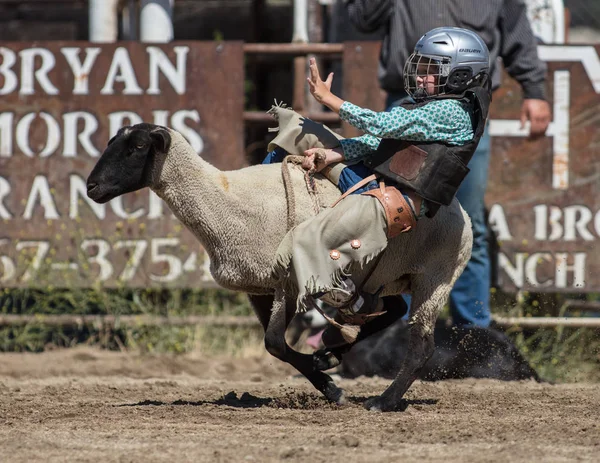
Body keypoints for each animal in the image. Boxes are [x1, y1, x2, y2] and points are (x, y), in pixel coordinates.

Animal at [86, 123, 474, 414]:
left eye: (137, 147)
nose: (91, 186)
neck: (224, 200)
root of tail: (463, 214)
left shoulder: (289, 282)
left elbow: (274, 341)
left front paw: (331, 387)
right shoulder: (259, 287)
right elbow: (274, 345)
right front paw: (325, 377)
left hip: (434, 278)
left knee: (421, 347)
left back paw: (384, 400)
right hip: (381, 275)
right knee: (391, 310)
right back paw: (332, 352)